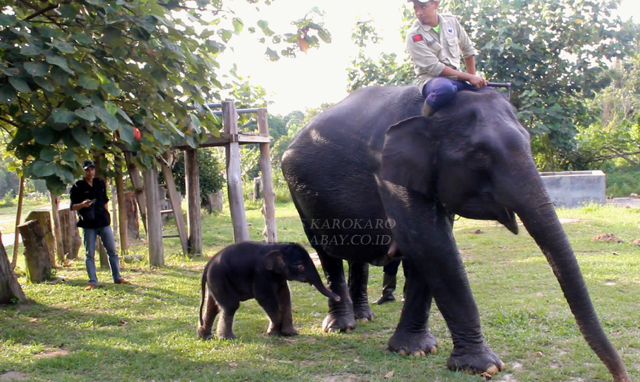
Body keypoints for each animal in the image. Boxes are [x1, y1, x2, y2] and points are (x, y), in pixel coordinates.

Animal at [198, 242, 340, 340]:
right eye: (300, 267)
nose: (338, 297)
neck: (278, 246)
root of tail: (207, 266)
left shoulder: (279, 277)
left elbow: (285, 296)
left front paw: (289, 333)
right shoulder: (261, 274)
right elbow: (265, 298)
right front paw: (273, 333)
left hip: (215, 282)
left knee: (212, 307)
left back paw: (205, 336)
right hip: (220, 278)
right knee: (230, 306)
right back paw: (228, 338)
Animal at [282, 86, 632, 382]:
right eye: (479, 155)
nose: (621, 376)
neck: (429, 110)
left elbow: (427, 249)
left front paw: (415, 350)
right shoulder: (387, 171)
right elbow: (429, 243)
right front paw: (485, 367)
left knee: (358, 257)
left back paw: (365, 317)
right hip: (300, 196)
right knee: (326, 252)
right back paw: (341, 327)